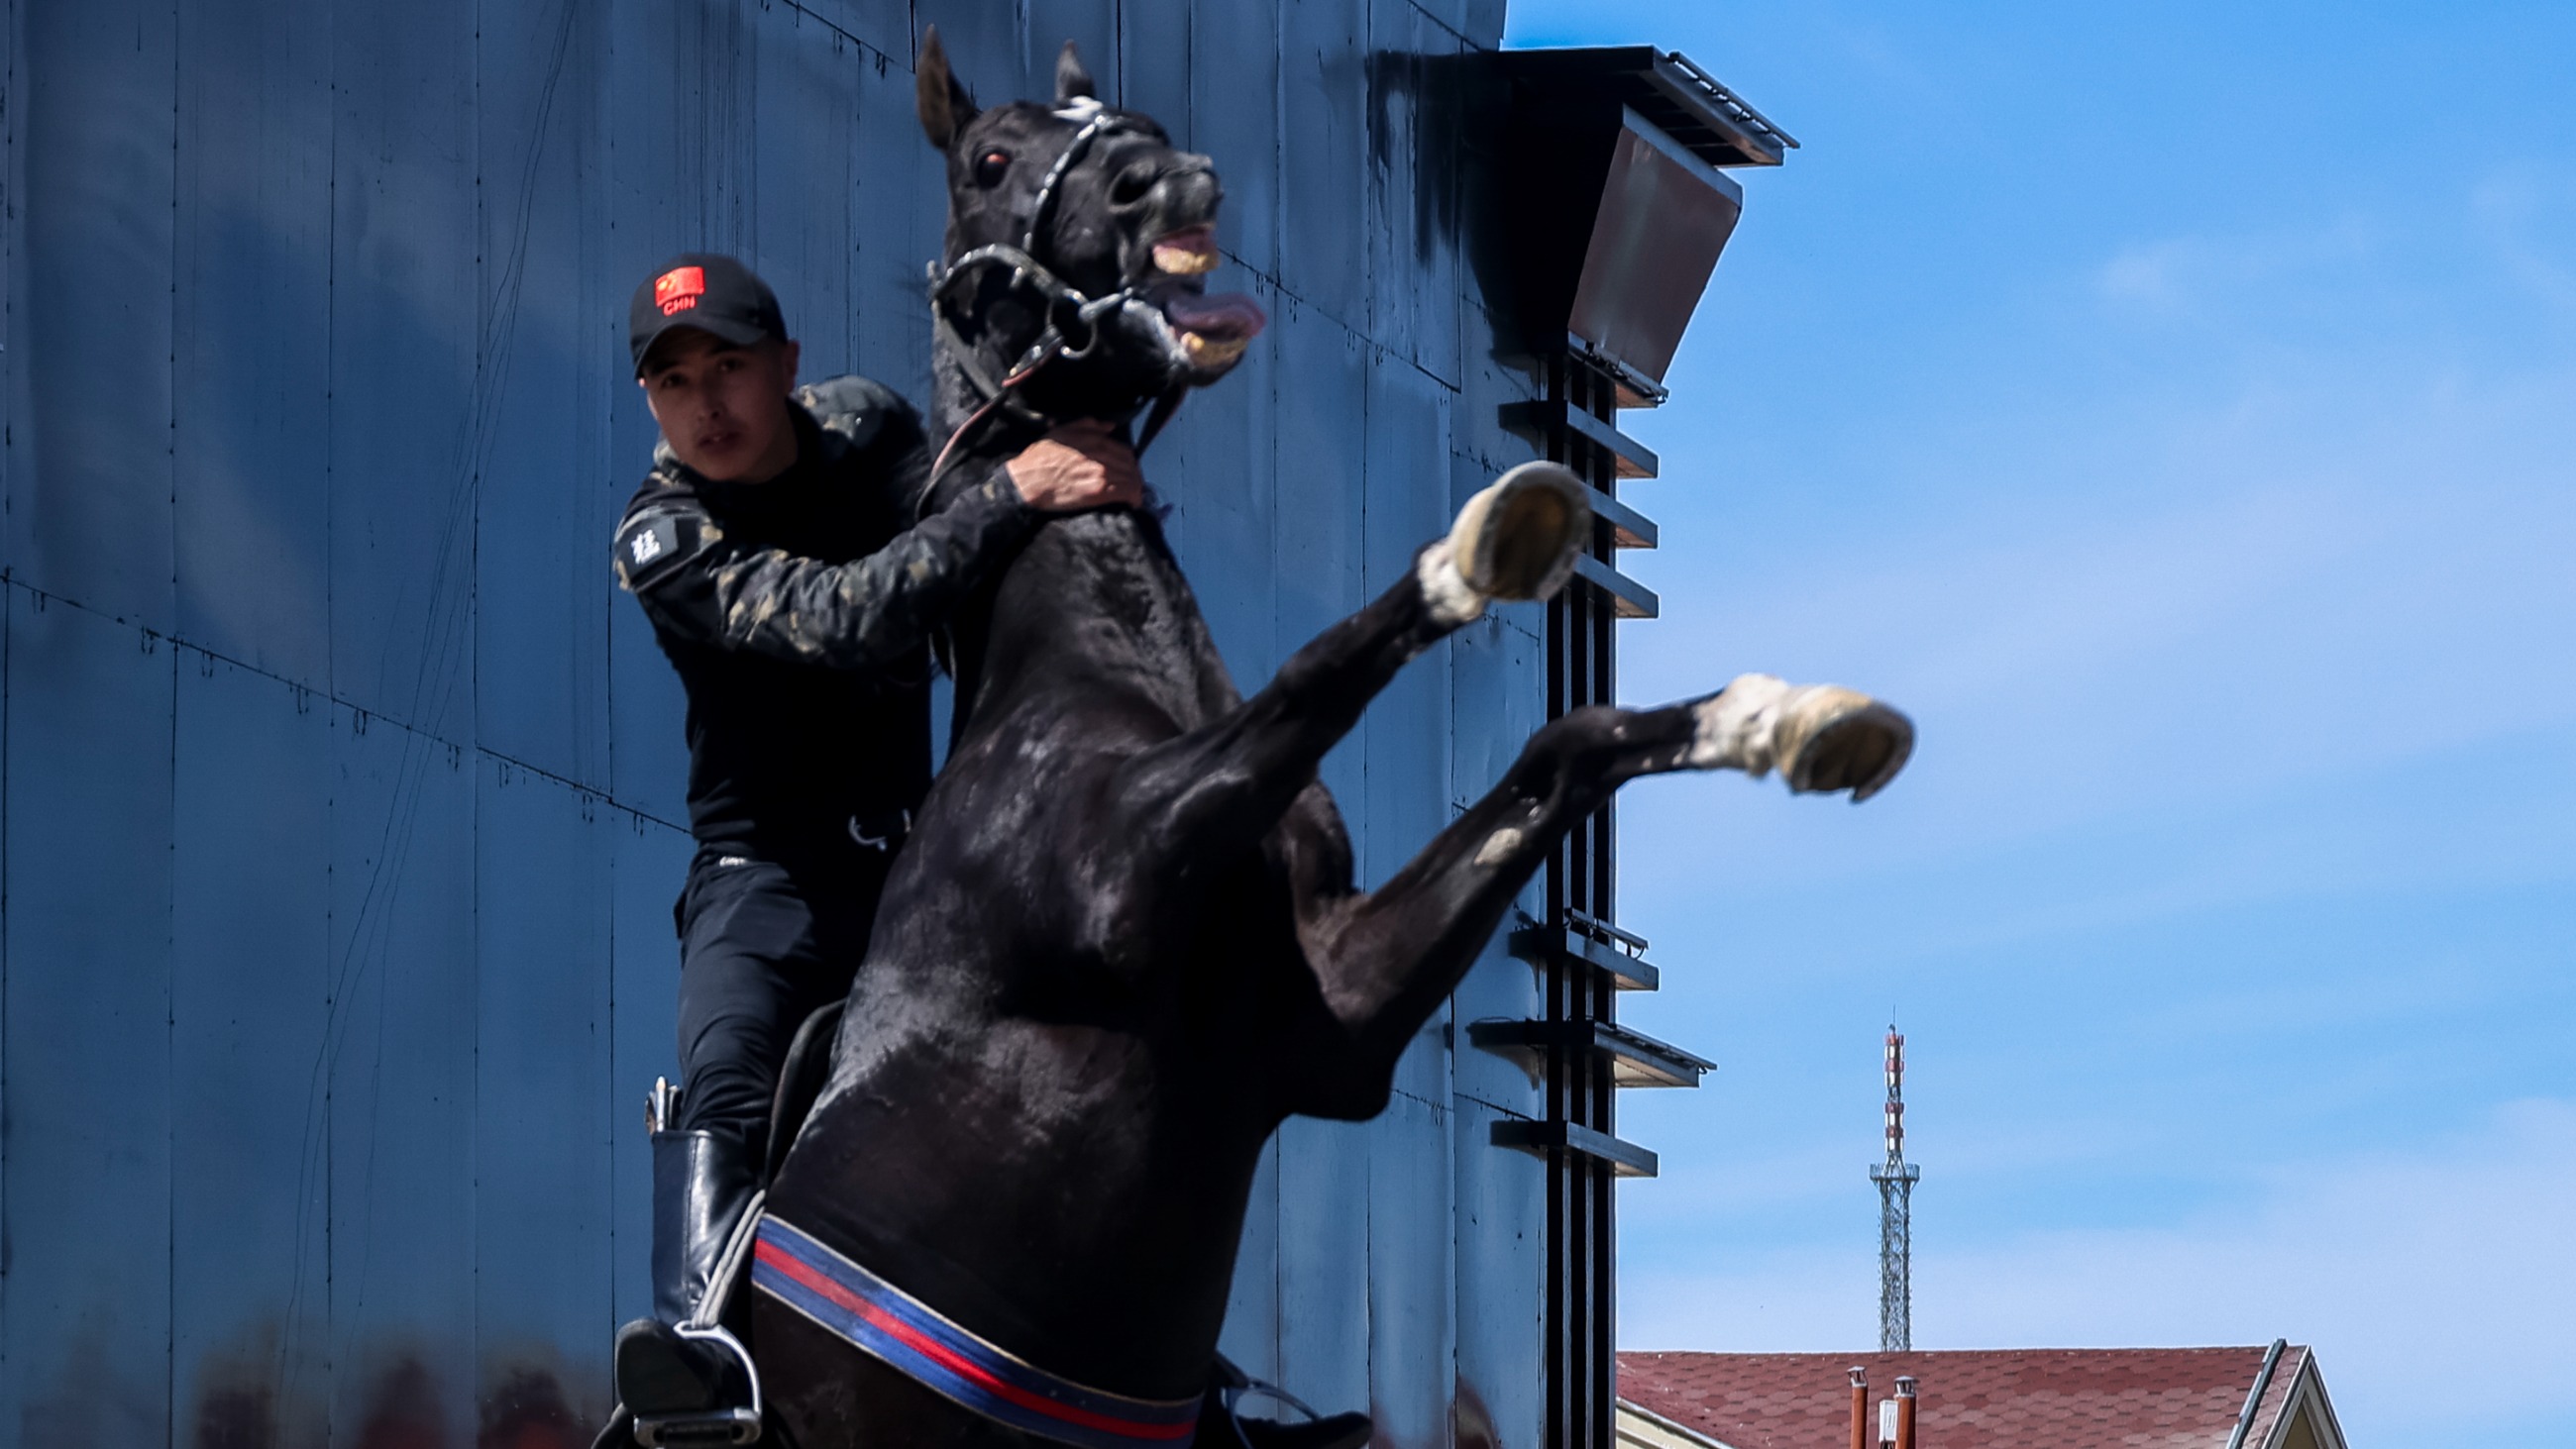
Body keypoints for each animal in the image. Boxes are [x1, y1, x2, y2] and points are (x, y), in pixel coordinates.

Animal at [743, 32, 1913, 1449]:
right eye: (988, 158)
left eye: (1126, 119)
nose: (1166, 180)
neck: (1078, 665)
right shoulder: (1124, 883)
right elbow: (1323, 667)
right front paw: (1483, 544)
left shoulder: (1334, 1023)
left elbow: (1568, 745)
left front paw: (1791, 722)